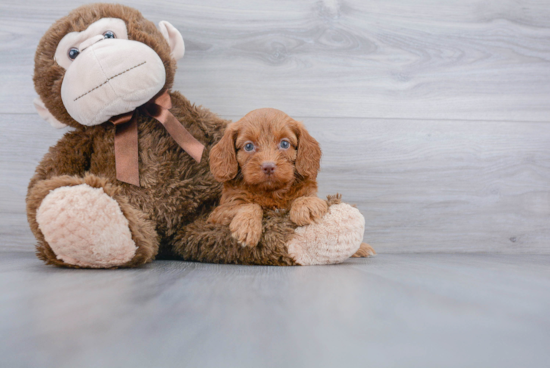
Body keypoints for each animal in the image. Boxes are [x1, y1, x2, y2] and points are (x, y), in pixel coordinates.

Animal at [207, 108, 328, 247]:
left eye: (284, 144)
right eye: (248, 146)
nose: (268, 166)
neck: (271, 192)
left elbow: (306, 196)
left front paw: (305, 204)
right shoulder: (218, 213)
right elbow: (249, 205)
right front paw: (247, 224)